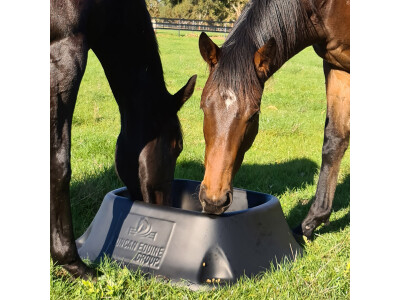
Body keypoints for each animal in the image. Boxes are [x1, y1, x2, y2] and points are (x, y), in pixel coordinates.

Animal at [198, 0, 348, 239]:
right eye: (203, 107)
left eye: (253, 115)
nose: (213, 201)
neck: (326, 7)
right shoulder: (337, 66)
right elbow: (335, 140)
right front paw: (311, 223)